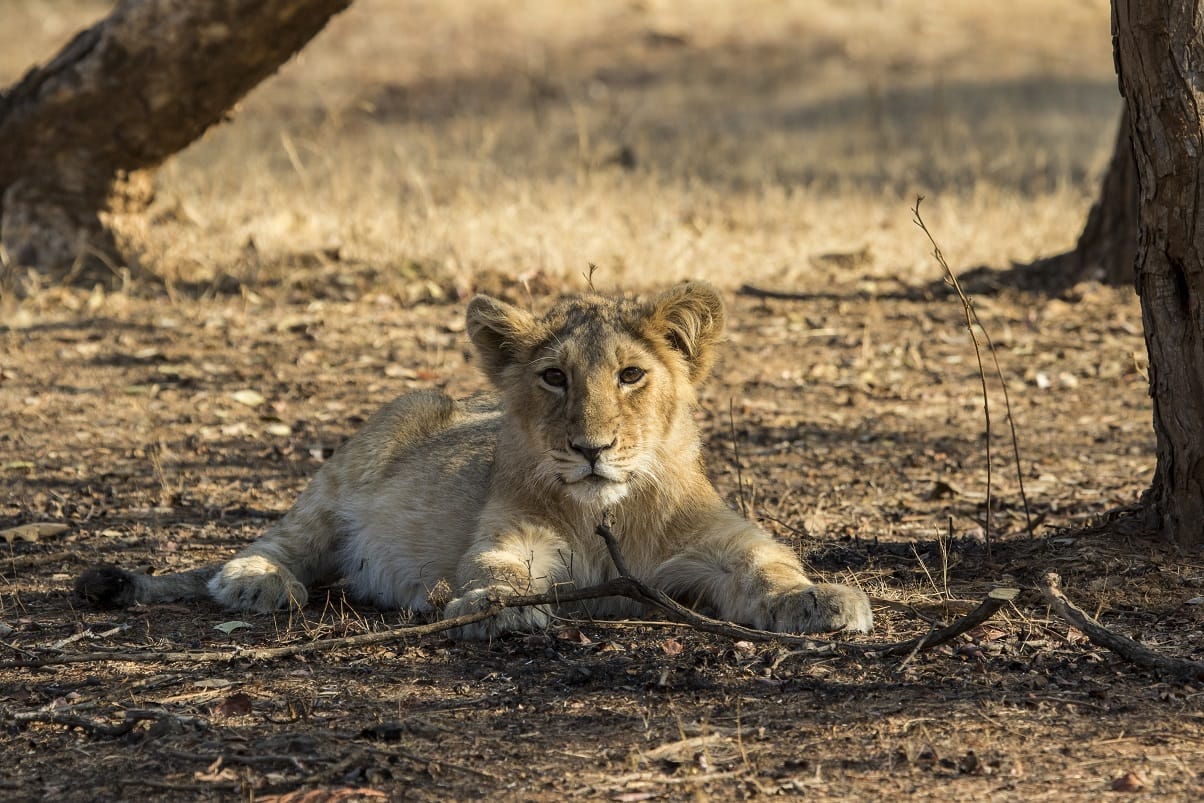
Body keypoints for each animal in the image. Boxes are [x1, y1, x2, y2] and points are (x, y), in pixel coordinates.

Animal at [76, 282, 873, 638]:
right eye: (553, 377)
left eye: (631, 376)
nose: (591, 448)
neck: (608, 515)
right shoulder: (512, 535)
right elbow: (496, 570)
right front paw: (496, 609)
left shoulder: (718, 541)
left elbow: (770, 563)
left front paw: (821, 599)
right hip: (381, 432)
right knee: (278, 541)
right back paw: (255, 582)